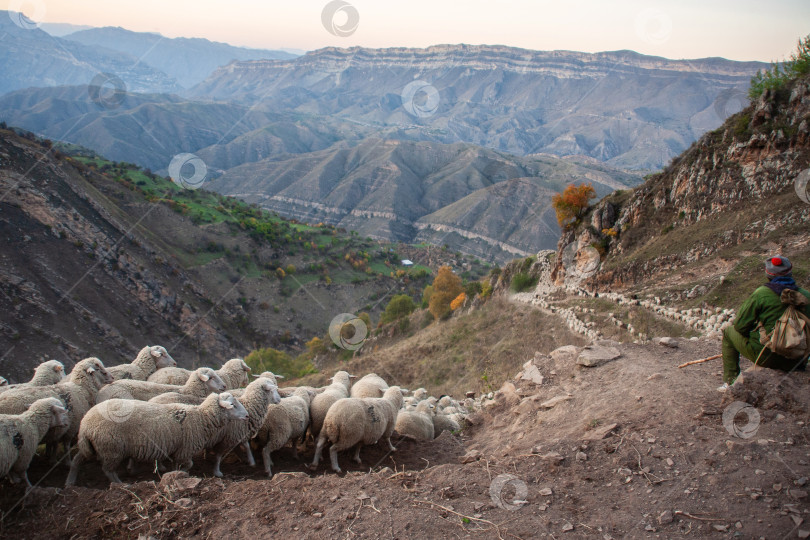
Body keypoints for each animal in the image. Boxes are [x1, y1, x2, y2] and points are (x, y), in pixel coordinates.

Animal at [66, 392, 246, 486]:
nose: (246, 415)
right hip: (111, 448)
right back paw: (121, 484)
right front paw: (182, 473)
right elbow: (188, 464)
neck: (201, 417)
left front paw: (176, 474)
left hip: (91, 446)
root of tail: (86, 423)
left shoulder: (178, 450)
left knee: (77, 460)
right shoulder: (185, 449)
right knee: (108, 470)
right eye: (233, 405)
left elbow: (178, 465)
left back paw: (70, 482)